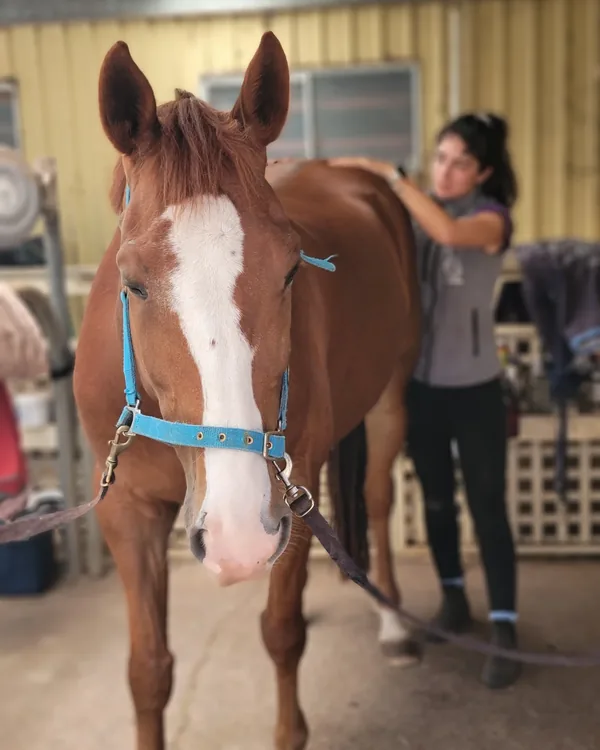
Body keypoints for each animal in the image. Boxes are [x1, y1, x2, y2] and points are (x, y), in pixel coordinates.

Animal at [73, 32, 421, 750]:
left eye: (290, 270)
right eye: (132, 281)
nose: (237, 537)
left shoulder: (290, 491)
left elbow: (281, 634)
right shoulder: (127, 513)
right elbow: (148, 671)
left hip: (390, 399)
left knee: (376, 498)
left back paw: (395, 623)